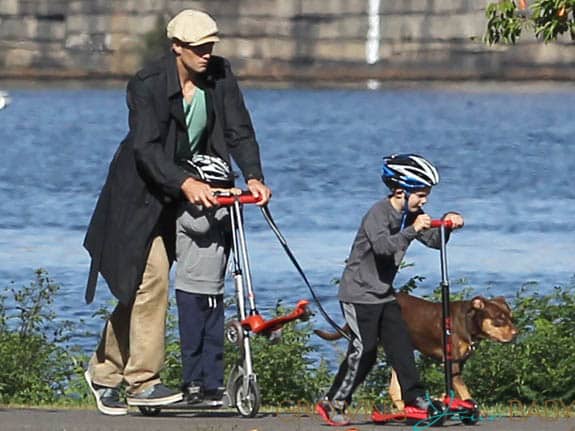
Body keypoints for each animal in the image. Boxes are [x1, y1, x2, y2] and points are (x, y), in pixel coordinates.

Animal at [316, 292, 516, 410]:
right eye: (499, 319)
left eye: (511, 317)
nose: (516, 333)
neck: (467, 322)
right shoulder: (452, 363)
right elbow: (464, 391)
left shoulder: (458, 365)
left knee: (394, 389)